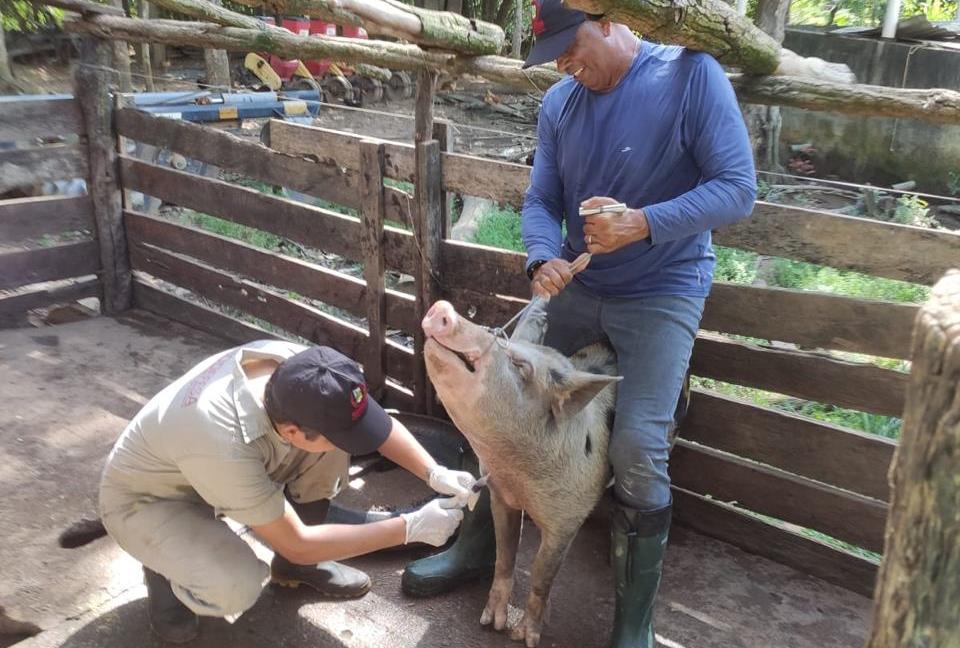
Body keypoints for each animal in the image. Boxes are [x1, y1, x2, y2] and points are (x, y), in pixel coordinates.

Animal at [422, 300, 620, 648]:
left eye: (520, 366)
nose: (442, 307)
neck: (518, 475)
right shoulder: (500, 495)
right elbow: (505, 554)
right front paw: (490, 623)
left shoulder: (567, 519)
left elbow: (542, 574)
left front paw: (525, 637)